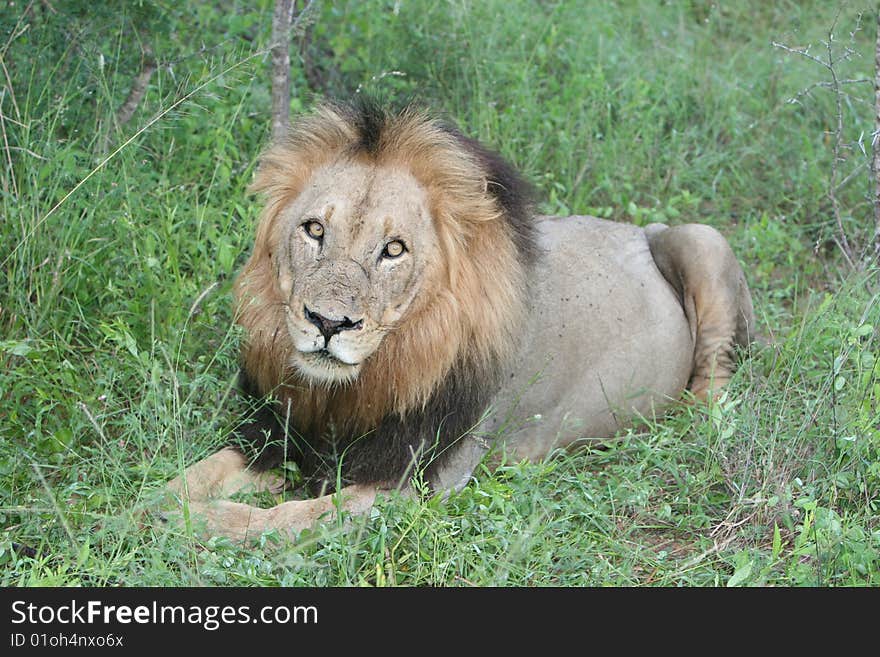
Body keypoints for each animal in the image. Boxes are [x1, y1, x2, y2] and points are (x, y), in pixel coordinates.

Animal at [167, 97, 756, 540]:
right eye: (314, 230)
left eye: (394, 249)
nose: (328, 323)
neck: (355, 388)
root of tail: (636, 228)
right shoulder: (272, 433)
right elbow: (193, 475)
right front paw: (154, 507)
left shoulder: (412, 482)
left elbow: (291, 519)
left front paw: (200, 526)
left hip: (700, 238)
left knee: (716, 383)